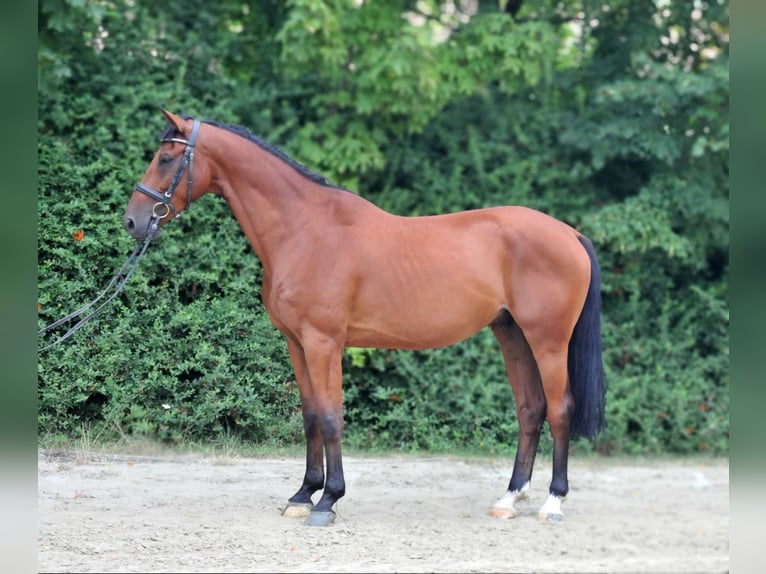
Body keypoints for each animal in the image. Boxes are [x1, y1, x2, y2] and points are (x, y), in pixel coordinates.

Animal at [126, 110, 608, 528]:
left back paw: (552, 502)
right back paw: (509, 499)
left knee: (560, 410)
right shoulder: (297, 344)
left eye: (166, 158)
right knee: (530, 409)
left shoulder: (323, 342)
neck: (306, 231)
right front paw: (303, 495)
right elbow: (309, 416)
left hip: (548, 340)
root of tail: (569, 233)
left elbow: (330, 417)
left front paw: (328, 500)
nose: (133, 221)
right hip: (512, 335)